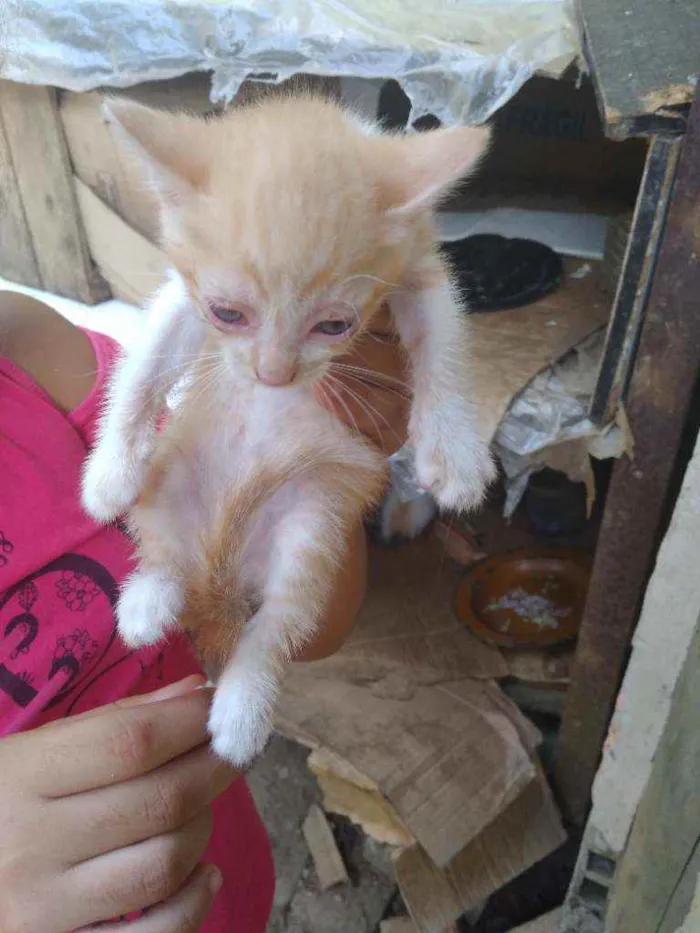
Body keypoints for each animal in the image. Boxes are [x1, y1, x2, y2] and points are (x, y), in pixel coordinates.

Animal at [82, 93, 494, 764]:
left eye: (335, 325)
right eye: (228, 313)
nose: (273, 375)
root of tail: (223, 569)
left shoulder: (421, 269)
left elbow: (445, 344)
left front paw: (454, 453)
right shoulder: (183, 292)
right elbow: (147, 360)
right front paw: (109, 472)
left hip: (312, 519)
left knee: (277, 621)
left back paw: (243, 708)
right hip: (171, 482)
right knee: (166, 551)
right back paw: (148, 601)